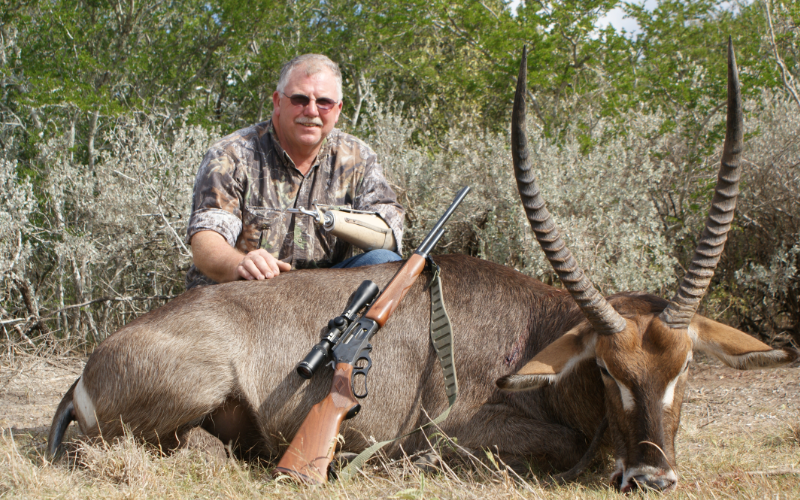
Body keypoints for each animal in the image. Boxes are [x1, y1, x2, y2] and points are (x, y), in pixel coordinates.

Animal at [48, 44, 792, 492]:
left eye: (685, 365)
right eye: (608, 369)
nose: (652, 478)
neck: (536, 337)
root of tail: (91, 366)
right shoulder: (468, 436)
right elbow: (560, 451)